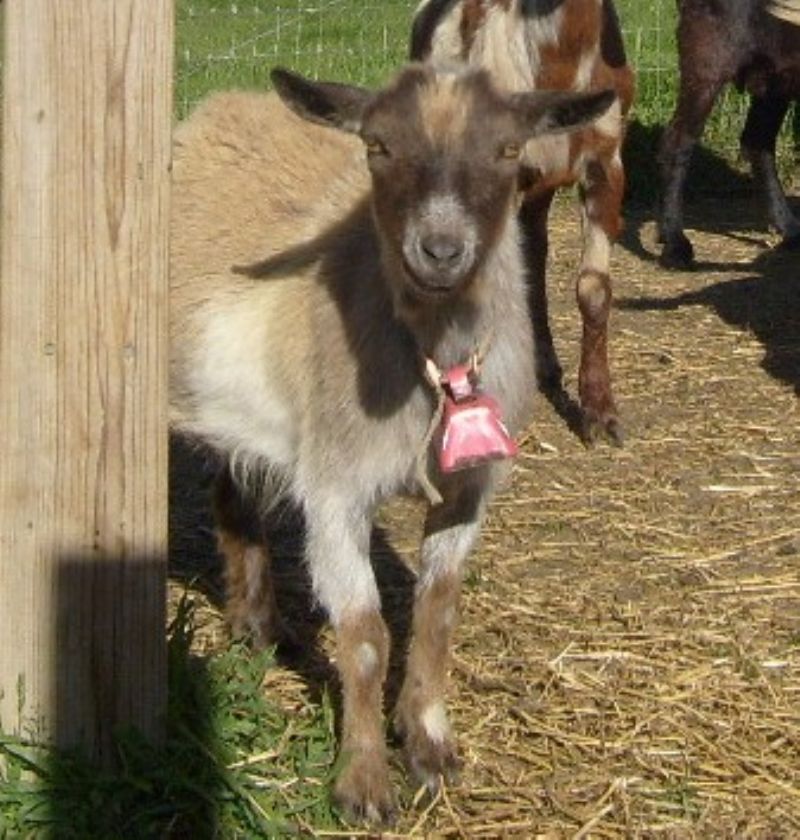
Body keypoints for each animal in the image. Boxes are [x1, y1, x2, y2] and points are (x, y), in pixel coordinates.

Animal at [170, 63, 612, 823]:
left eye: (507, 150)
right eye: (377, 145)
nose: (439, 250)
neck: (436, 363)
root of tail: (213, 109)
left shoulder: (468, 492)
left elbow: (437, 612)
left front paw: (430, 746)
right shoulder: (336, 488)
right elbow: (366, 635)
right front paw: (365, 782)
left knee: (234, 483)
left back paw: (257, 624)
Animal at [658, 0, 800, 269]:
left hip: (775, 74)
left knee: (757, 141)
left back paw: (789, 229)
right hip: (709, 54)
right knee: (677, 141)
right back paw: (675, 244)